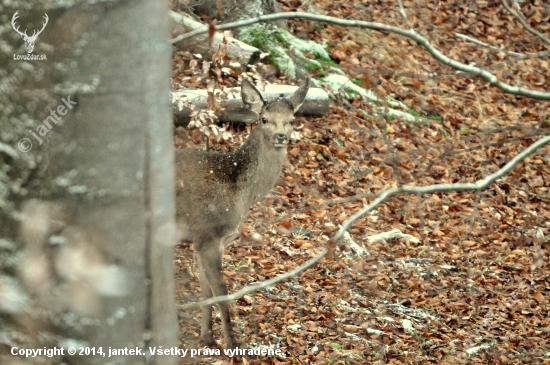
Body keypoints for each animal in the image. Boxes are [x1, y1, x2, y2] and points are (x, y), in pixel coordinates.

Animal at [177, 78, 310, 348]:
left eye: (292, 120)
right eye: (264, 119)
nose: (281, 136)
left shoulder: (204, 240)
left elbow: (206, 289)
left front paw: (207, 337)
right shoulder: (208, 233)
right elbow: (221, 291)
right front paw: (233, 344)